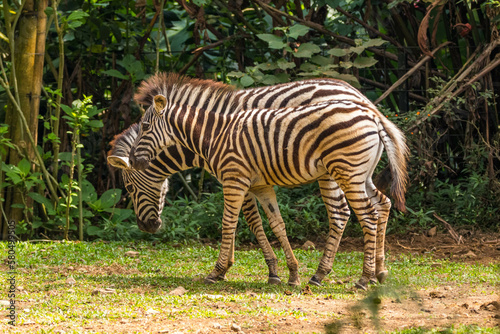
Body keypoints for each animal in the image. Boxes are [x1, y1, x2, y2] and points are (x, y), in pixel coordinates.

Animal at [127, 73, 408, 290]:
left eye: (145, 126)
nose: (146, 227)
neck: (214, 133)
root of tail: (370, 111)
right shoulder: (259, 185)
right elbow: (276, 224)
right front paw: (290, 274)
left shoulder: (235, 180)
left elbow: (232, 223)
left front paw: (219, 271)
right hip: (361, 175)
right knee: (382, 204)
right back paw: (377, 272)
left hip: (342, 174)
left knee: (357, 215)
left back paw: (357, 278)